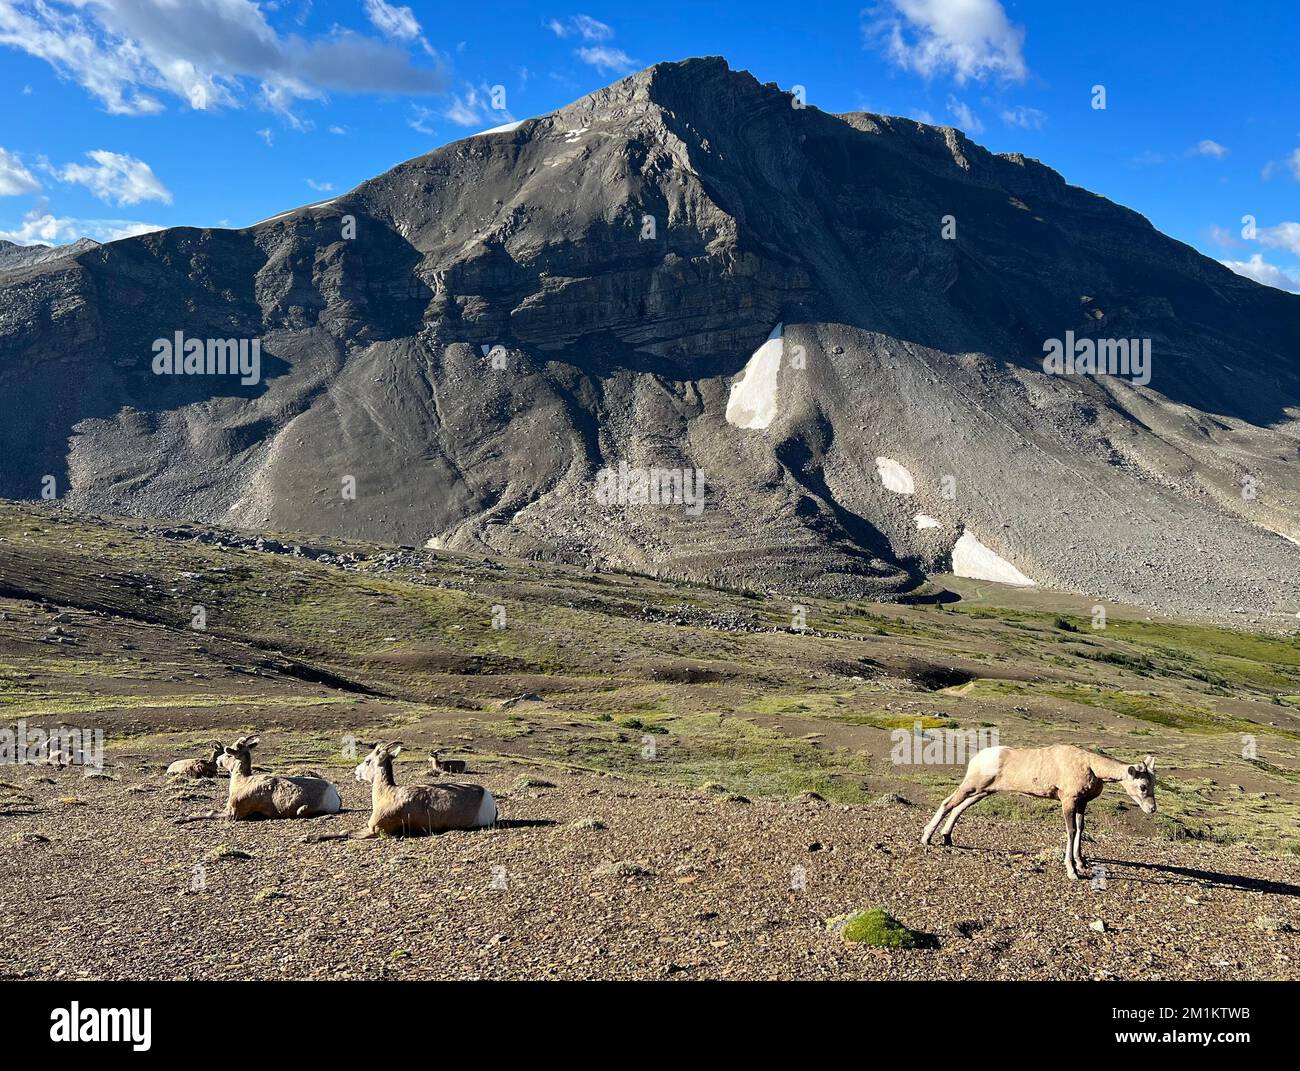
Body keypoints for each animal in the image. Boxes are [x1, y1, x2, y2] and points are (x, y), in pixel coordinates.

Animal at [920, 745, 1157, 879]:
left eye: (1154, 783)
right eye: (1142, 786)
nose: (1152, 808)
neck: (1093, 768)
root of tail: (976, 758)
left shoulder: (1082, 803)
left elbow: (1081, 829)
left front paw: (1082, 863)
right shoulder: (1067, 800)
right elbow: (1071, 831)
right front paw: (1072, 871)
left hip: (984, 790)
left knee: (960, 806)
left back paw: (947, 837)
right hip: (972, 784)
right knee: (948, 803)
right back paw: (926, 838)